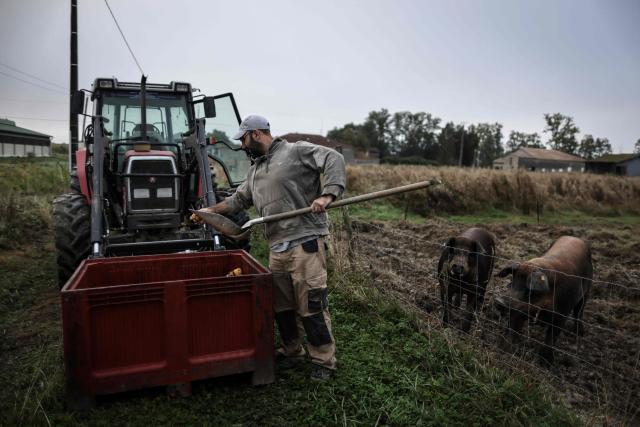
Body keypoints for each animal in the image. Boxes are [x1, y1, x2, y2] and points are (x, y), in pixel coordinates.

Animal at [496, 236, 596, 366]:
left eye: (529, 291)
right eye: (511, 283)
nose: (499, 301)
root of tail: (574, 237)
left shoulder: (561, 314)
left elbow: (551, 338)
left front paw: (547, 365)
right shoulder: (519, 310)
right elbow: (512, 329)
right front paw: (503, 349)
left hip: (586, 291)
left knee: (579, 312)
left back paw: (580, 333)